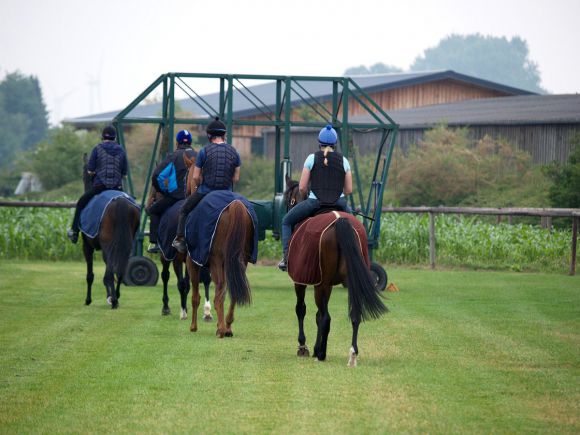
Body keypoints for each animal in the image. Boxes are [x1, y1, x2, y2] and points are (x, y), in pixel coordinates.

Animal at [80, 158, 140, 308]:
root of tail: (120, 202)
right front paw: (111, 296)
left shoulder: (87, 246)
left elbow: (91, 275)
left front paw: (88, 299)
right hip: (124, 246)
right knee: (120, 271)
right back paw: (116, 297)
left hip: (108, 247)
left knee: (110, 273)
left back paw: (113, 301)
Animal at [182, 164, 253, 338]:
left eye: (186, 175)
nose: (186, 192)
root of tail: (235, 204)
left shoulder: (192, 262)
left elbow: (195, 296)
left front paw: (193, 326)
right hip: (239, 261)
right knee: (233, 291)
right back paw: (227, 326)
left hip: (216, 261)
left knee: (219, 291)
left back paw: (221, 329)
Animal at [284, 175, 388, 366]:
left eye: (289, 199)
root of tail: (340, 221)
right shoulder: (326, 284)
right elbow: (317, 314)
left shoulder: (301, 281)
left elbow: (302, 309)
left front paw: (304, 347)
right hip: (350, 283)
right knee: (354, 315)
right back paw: (352, 353)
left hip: (322, 284)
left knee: (325, 317)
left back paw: (321, 354)